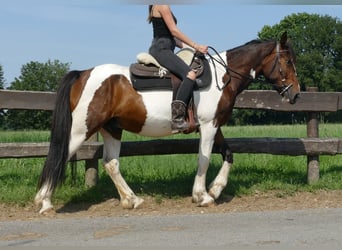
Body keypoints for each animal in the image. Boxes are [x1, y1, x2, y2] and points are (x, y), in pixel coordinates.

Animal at [34, 32, 300, 214]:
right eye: (288, 62)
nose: (296, 94)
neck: (222, 77)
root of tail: (83, 73)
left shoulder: (215, 124)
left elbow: (228, 154)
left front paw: (215, 189)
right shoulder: (209, 125)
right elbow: (204, 159)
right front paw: (202, 196)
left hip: (112, 128)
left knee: (111, 163)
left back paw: (131, 199)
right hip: (82, 129)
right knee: (59, 157)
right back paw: (44, 202)